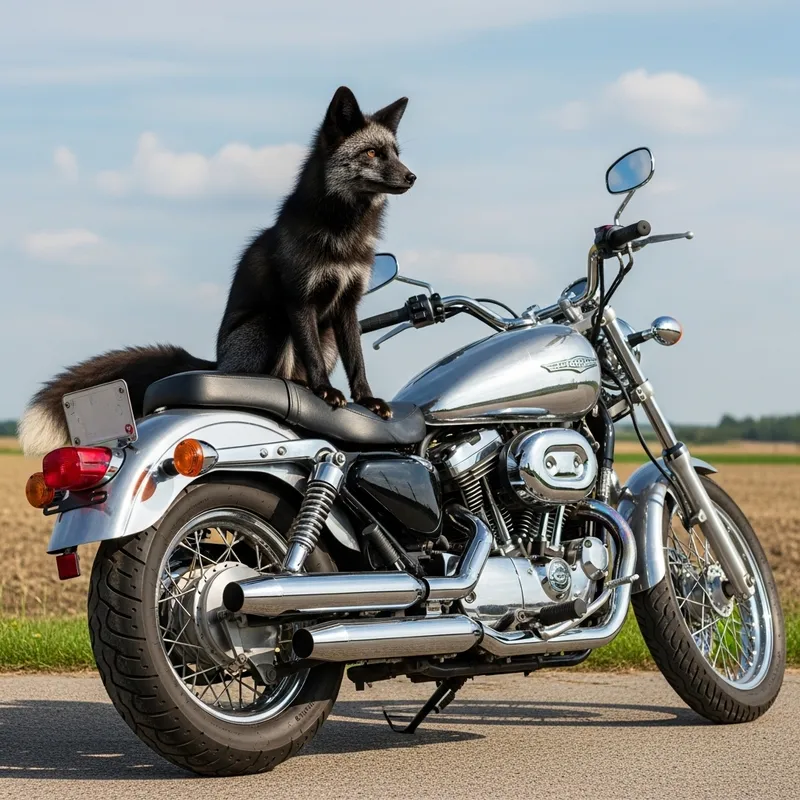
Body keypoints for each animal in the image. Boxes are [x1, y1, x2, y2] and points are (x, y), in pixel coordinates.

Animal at [18, 86, 416, 457]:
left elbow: (358, 362)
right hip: (271, 323)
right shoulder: (298, 299)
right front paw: (324, 393)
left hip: (324, 332)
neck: (344, 236)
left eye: (396, 151)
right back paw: (299, 393)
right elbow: (315, 359)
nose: (412, 177)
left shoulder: (348, 304)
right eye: (371, 153)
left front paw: (367, 401)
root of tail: (217, 365)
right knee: (281, 376)